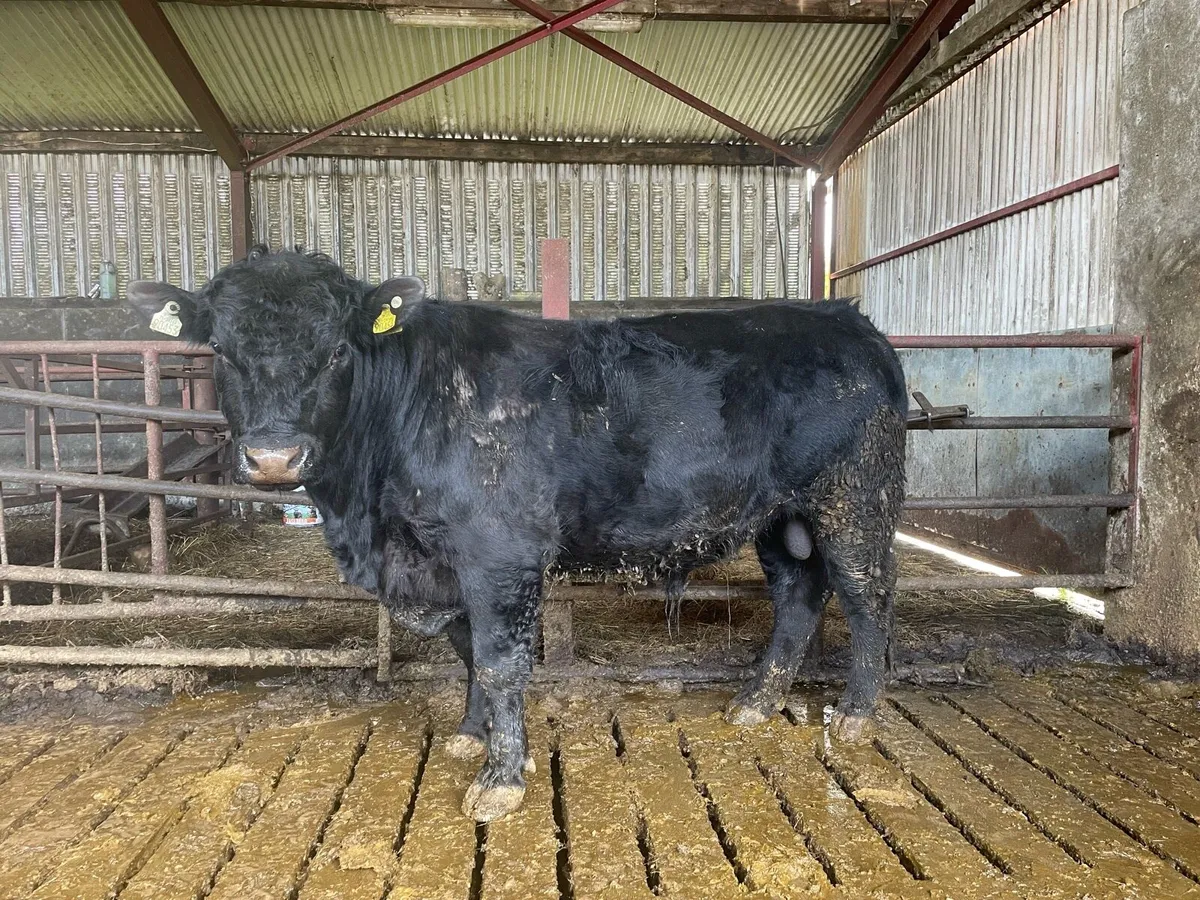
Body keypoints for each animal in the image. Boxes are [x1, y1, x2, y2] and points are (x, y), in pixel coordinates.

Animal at [127, 247, 907, 822]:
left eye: (337, 353)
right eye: (220, 351)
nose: (273, 457)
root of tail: (846, 319)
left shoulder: (498, 552)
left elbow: (502, 661)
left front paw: (501, 779)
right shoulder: (445, 561)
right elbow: (469, 649)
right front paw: (473, 737)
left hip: (853, 497)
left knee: (866, 593)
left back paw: (856, 716)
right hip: (780, 516)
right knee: (799, 595)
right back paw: (755, 703)